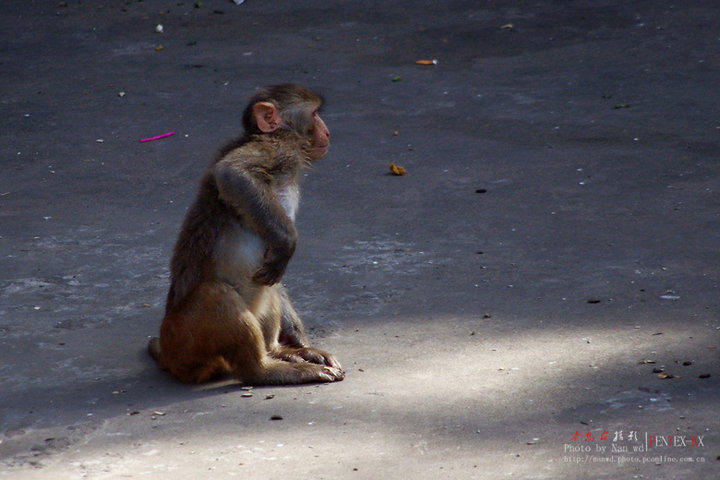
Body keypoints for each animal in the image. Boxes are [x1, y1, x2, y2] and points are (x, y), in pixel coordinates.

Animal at [146, 83, 344, 386]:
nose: (328, 132)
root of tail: (168, 355)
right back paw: (265, 370)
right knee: (215, 293)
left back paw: (280, 351)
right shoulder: (279, 148)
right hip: (187, 341)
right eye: (314, 114)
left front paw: (302, 345)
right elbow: (232, 172)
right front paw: (287, 242)